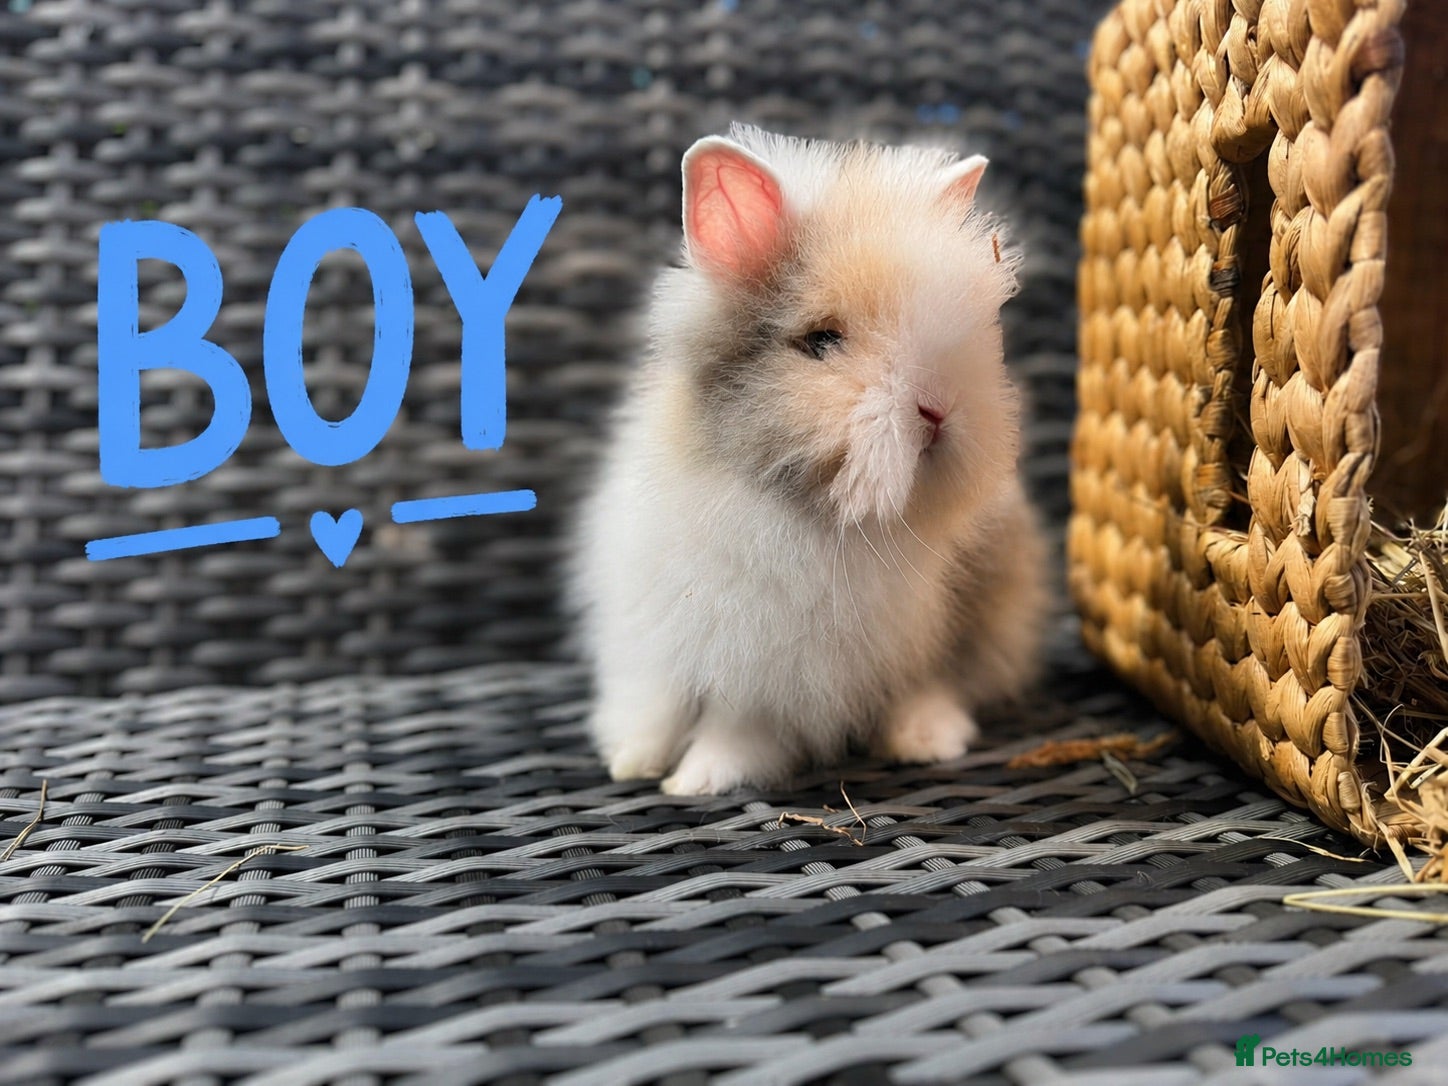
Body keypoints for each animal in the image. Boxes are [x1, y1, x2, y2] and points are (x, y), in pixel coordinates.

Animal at [568, 123, 1050, 795]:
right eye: (821, 341)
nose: (937, 410)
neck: (822, 518)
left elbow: (738, 731)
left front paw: (700, 776)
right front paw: (675, 775)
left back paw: (925, 742)